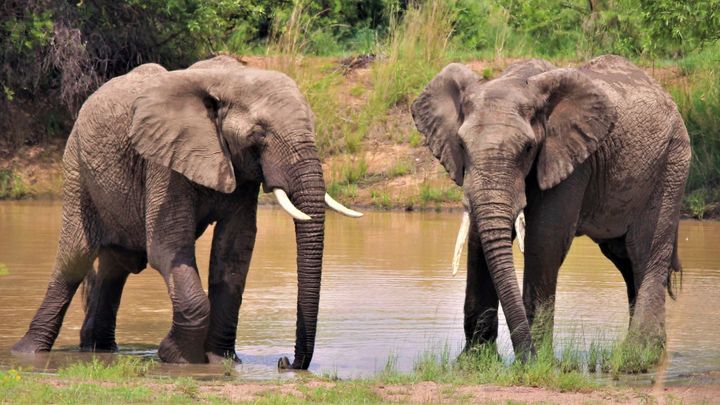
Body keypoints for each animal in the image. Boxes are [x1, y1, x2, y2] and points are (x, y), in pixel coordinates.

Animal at [12, 55, 362, 369]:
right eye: (259, 134)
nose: (285, 362)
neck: (231, 78)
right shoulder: (163, 162)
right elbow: (168, 247)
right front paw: (178, 359)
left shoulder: (241, 172)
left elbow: (233, 251)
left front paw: (221, 360)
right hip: (76, 166)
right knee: (75, 258)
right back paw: (27, 353)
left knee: (115, 265)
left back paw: (98, 349)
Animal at [411, 55, 690, 359]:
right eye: (461, 145)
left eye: (527, 148)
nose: (526, 356)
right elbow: (477, 240)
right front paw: (473, 360)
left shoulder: (571, 160)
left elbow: (545, 238)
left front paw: (538, 360)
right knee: (623, 257)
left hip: (672, 164)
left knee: (645, 251)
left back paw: (638, 355)